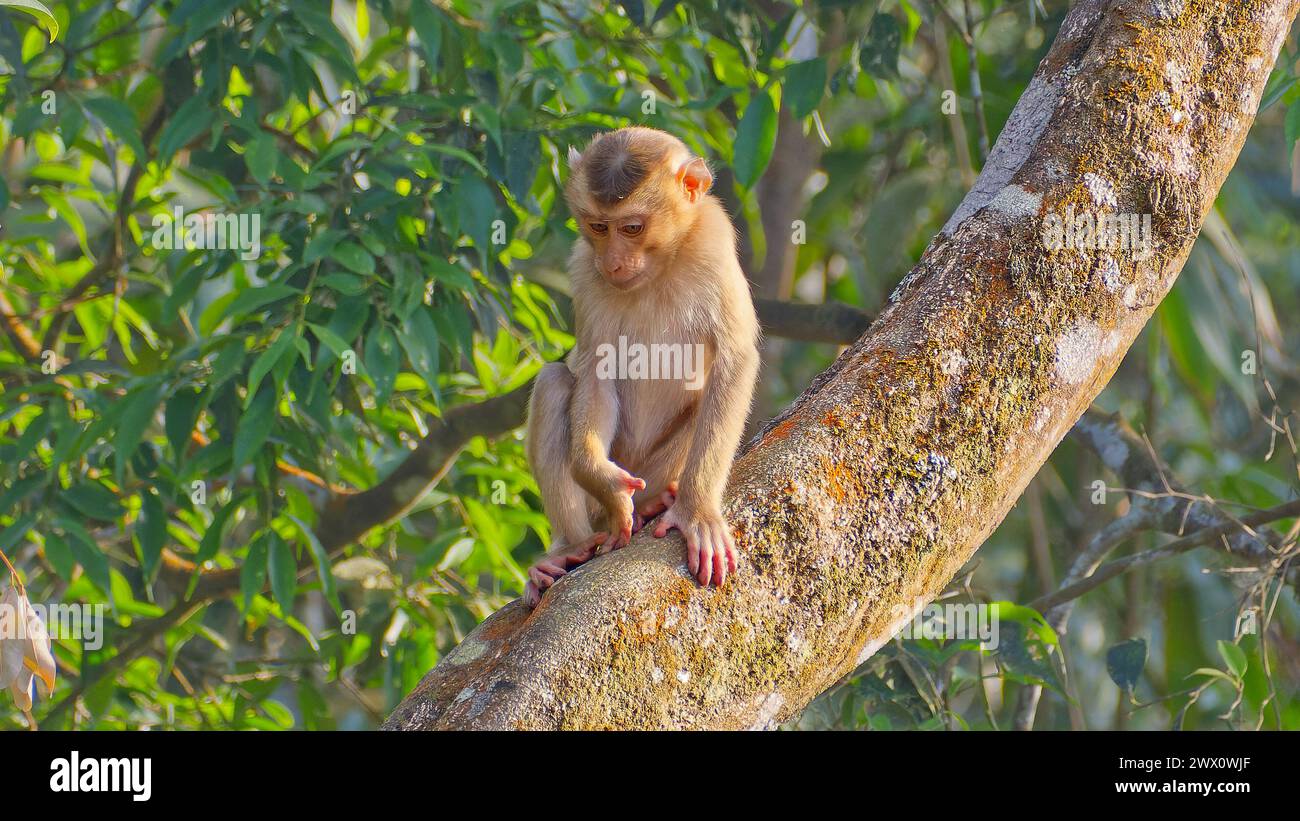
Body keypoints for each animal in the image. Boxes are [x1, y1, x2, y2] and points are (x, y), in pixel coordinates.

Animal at [520, 125, 759, 605]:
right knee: (554, 380)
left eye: (633, 227)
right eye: (598, 226)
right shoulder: (583, 268)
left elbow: (735, 358)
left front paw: (697, 510)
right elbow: (597, 371)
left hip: (656, 469)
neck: (662, 265)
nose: (612, 262)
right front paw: (603, 480)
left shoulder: (714, 241)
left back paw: (657, 504)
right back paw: (569, 548)